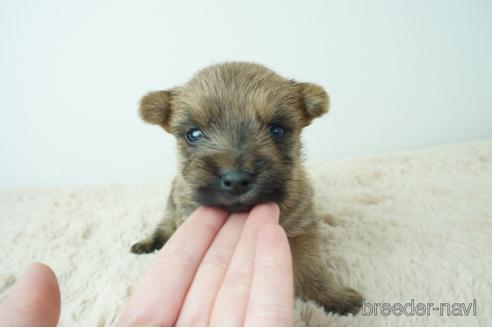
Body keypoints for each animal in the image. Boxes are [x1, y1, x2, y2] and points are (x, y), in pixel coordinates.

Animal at [131, 62, 362, 316]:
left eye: (277, 130)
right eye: (193, 134)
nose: (236, 180)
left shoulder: (302, 228)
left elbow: (310, 266)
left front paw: (331, 296)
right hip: (170, 209)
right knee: (163, 227)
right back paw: (146, 244)